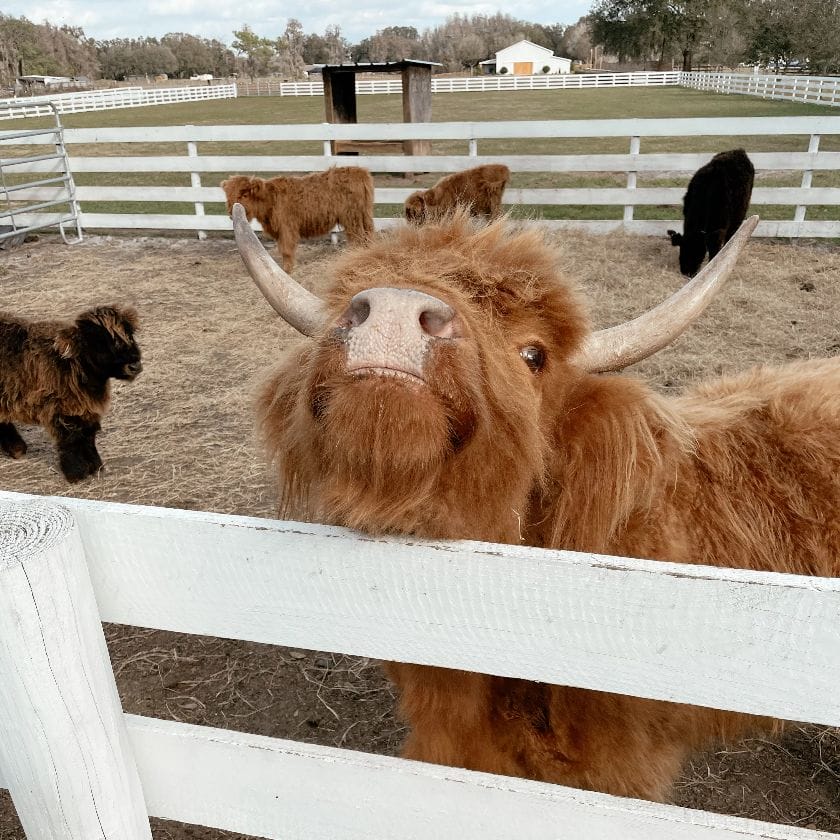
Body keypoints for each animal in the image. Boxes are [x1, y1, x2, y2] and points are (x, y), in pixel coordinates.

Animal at [0, 305, 142, 482]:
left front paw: (96, 467)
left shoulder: (85, 410)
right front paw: (76, 474)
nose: (134, 365)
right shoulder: (62, 409)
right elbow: (71, 440)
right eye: (99, 342)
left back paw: (17, 449)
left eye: (129, 335)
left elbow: (88, 437)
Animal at [221, 167, 374, 273]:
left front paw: (287, 270)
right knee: (368, 234)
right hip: (365, 215)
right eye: (228, 196)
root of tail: (359, 171)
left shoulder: (287, 228)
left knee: (358, 238)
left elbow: (286, 251)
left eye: (244, 195)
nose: (231, 213)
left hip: (352, 218)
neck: (270, 200)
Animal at [667, 149, 755, 277]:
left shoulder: (717, 227)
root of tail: (739, 151)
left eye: (696, 250)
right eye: (682, 249)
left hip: (740, 211)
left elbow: (714, 248)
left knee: (732, 233)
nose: (687, 272)